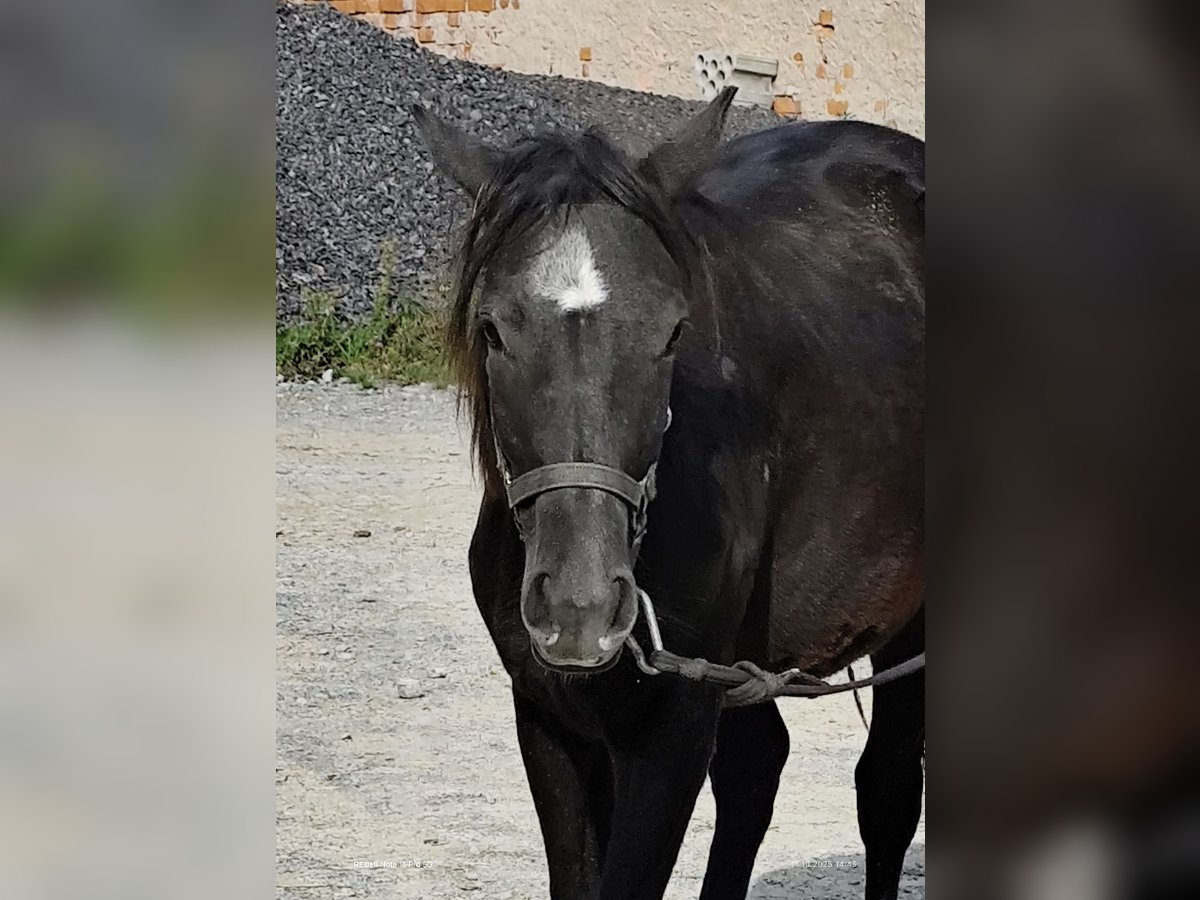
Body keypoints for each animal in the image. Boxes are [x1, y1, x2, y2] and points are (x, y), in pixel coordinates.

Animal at [414, 86, 924, 900]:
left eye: (673, 331)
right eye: (492, 329)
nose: (582, 610)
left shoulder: (670, 729)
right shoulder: (551, 717)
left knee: (887, 789)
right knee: (757, 771)